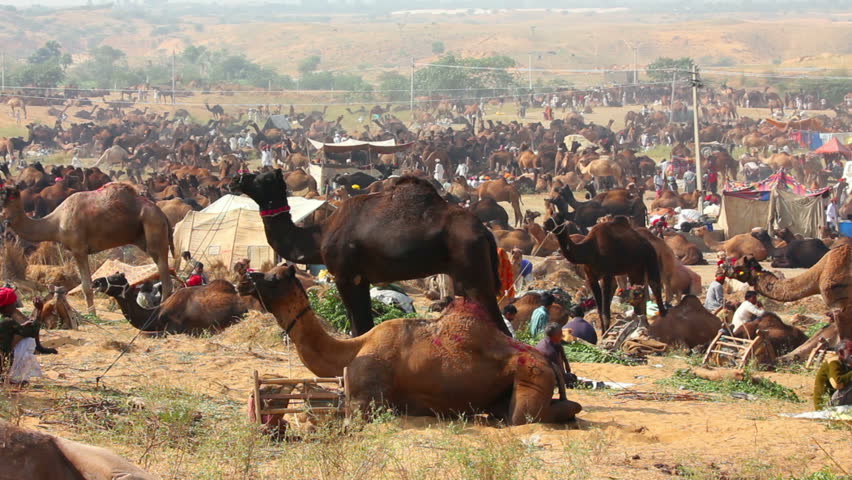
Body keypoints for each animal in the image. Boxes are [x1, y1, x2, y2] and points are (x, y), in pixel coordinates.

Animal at [0, 183, 174, 314]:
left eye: (9, 194)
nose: (4, 217)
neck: (55, 223)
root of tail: (162, 214)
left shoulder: (78, 248)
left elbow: (86, 285)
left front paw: (92, 314)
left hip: (153, 225)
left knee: (163, 268)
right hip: (144, 234)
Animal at [230, 172, 510, 336]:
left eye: (263, 177)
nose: (236, 178)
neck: (320, 234)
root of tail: (485, 232)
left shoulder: (346, 276)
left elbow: (359, 326)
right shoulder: (362, 279)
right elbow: (365, 325)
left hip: (473, 272)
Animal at [239, 266, 582, 424]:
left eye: (274, 278)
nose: (245, 279)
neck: (351, 351)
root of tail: (547, 362)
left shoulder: (368, 398)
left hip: (532, 377)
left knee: (528, 416)